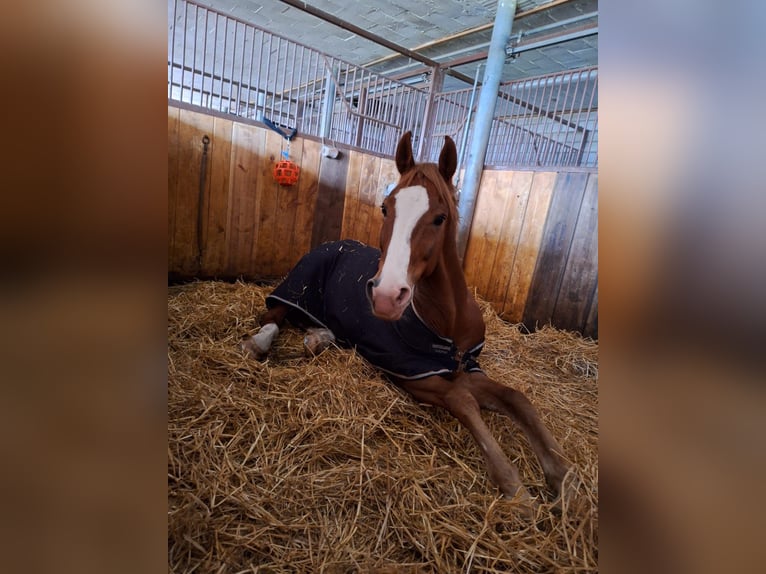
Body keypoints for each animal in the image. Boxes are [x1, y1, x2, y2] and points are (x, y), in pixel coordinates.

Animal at [243, 132, 572, 516]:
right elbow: (463, 400)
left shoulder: (469, 369)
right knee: (273, 316)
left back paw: (317, 339)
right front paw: (516, 489)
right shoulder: (418, 376)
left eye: (440, 217)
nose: (387, 295)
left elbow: (517, 398)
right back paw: (258, 343)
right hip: (296, 286)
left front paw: (564, 477)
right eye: (386, 208)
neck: (448, 322)